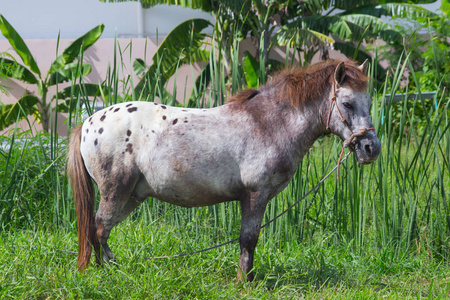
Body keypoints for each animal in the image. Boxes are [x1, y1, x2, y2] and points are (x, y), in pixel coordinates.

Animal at [68, 59, 382, 282]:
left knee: (101, 230)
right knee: (99, 228)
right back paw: (108, 272)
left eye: (369, 102)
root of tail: (89, 123)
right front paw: (245, 281)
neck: (269, 123)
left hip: (132, 196)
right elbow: (248, 239)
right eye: (347, 103)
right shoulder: (255, 195)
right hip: (116, 192)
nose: (371, 148)